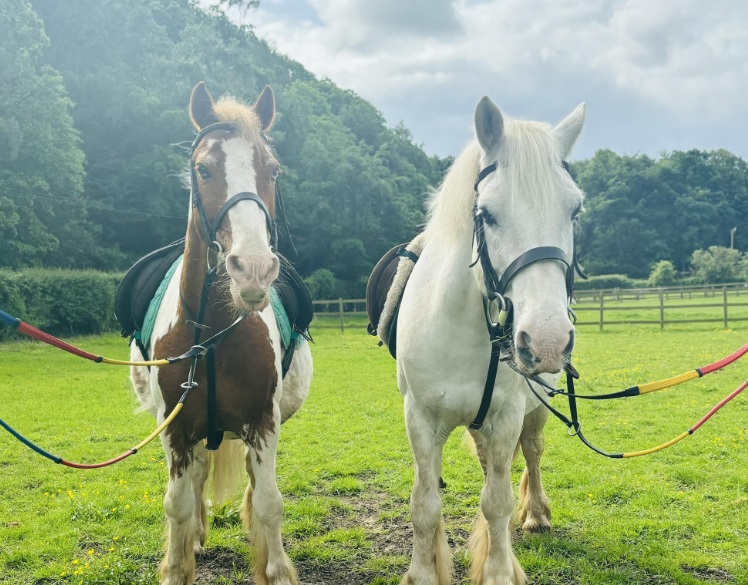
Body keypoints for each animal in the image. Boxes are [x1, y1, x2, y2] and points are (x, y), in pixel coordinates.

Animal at [130, 82, 312, 584]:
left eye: (272, 170)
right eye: (204, 169)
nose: (253, 269)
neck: (212, 335)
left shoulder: (263, 422)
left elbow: (269, 504)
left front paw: (275, 569)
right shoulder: (174, 428)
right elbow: (176, 505)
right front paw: (177, 566)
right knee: (193, 484)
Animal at [398, 98, 584, 580]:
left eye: (574, 211)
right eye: (487, 215)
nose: (547, 341)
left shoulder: (507, 416)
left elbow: (497, 502)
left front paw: (498, 571)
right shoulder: (421, 419)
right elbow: (424, 505)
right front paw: (423, 573)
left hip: (536, 411)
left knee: (532, 454)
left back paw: (535, 514)